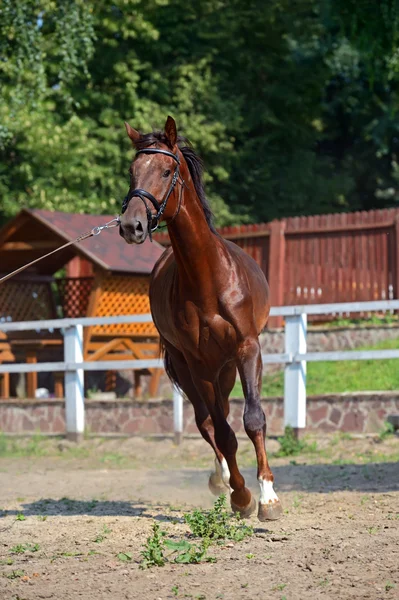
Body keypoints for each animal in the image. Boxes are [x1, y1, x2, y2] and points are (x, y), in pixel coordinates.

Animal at [120, 115, 282, 516]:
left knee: (221, 413)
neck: (208, 279)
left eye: (166, 171)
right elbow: (222, 431)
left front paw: (268, 497)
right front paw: (241, 496)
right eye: (132, 171)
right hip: (193, 369)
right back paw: (222, 480)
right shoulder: (197, 363)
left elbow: (253, 419)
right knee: (207, 421)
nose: (131, 226)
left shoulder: (247, 349)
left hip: (225, 367)